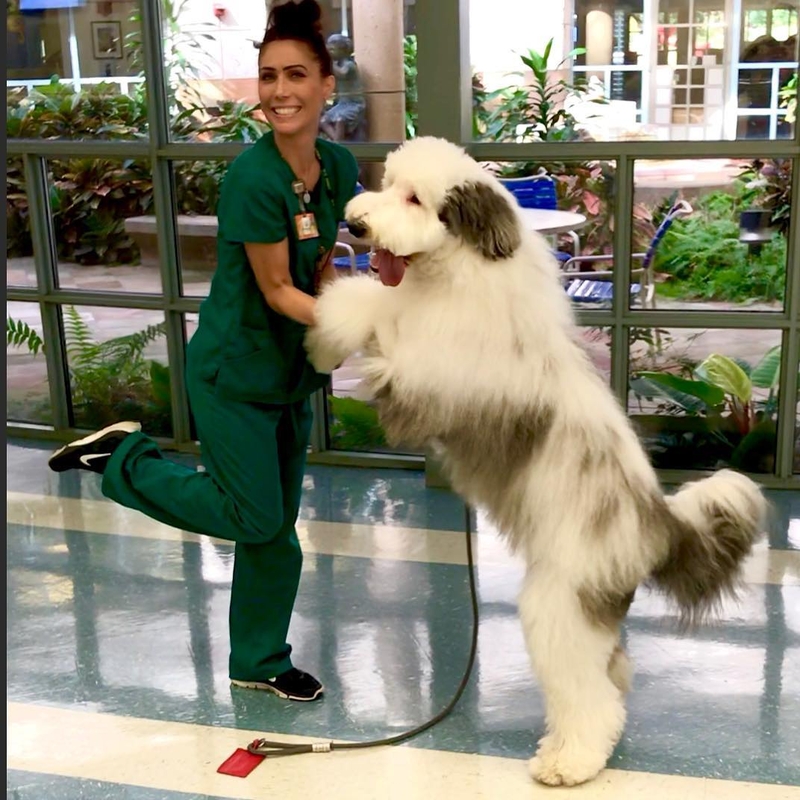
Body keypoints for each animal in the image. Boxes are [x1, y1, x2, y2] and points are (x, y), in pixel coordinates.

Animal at [304, 138, 764, 788]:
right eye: (388, 184)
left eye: (415, 198)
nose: (358, 225)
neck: (460, 274)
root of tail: (657, 525)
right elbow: (375, 299)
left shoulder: (420, 377)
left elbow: (369, 304)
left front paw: (325, 327)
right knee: (610, 673)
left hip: (560, 604)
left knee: (589, 697)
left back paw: (569, 762)